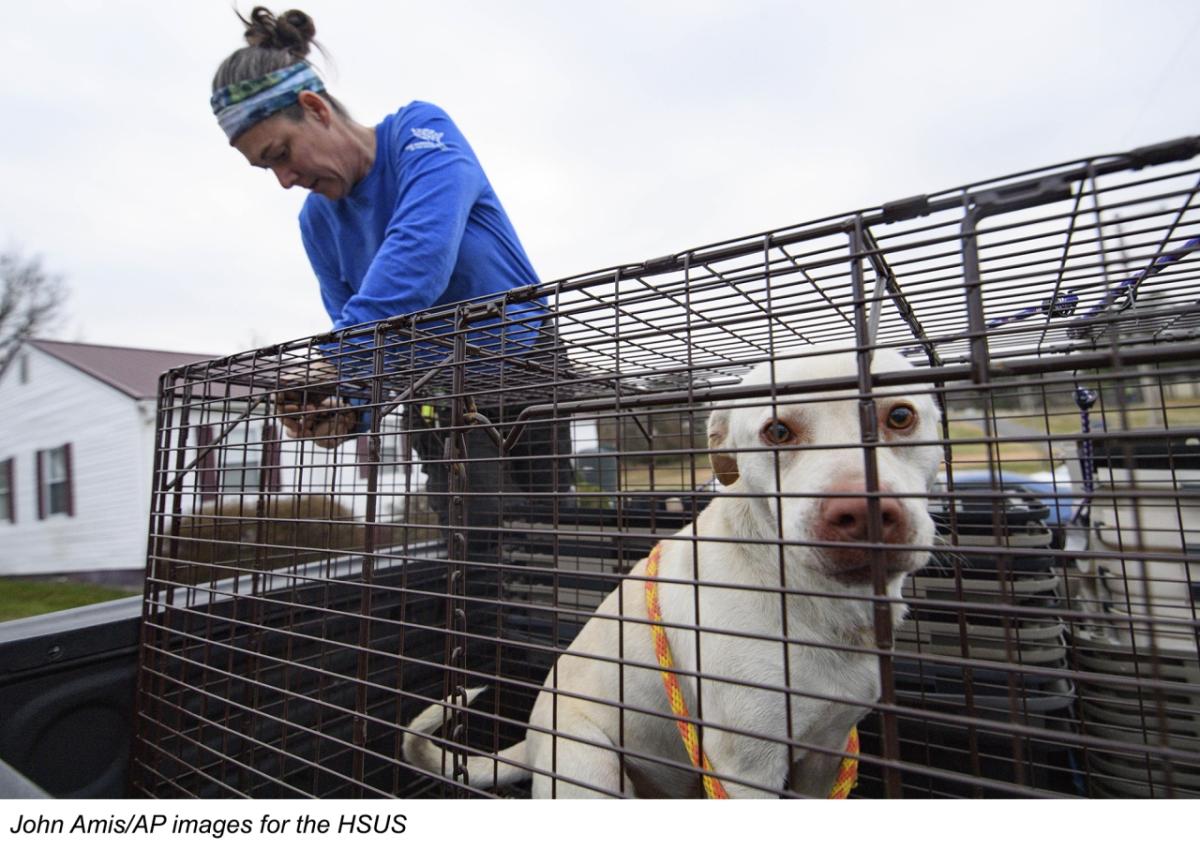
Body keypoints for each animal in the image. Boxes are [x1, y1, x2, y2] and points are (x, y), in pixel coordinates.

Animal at [403, 347, 945, 796]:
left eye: (900, 416)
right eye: (777, 432)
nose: (861, 512)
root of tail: (532, 742)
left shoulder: (824, 755)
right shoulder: (746, 769)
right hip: (592, 765)